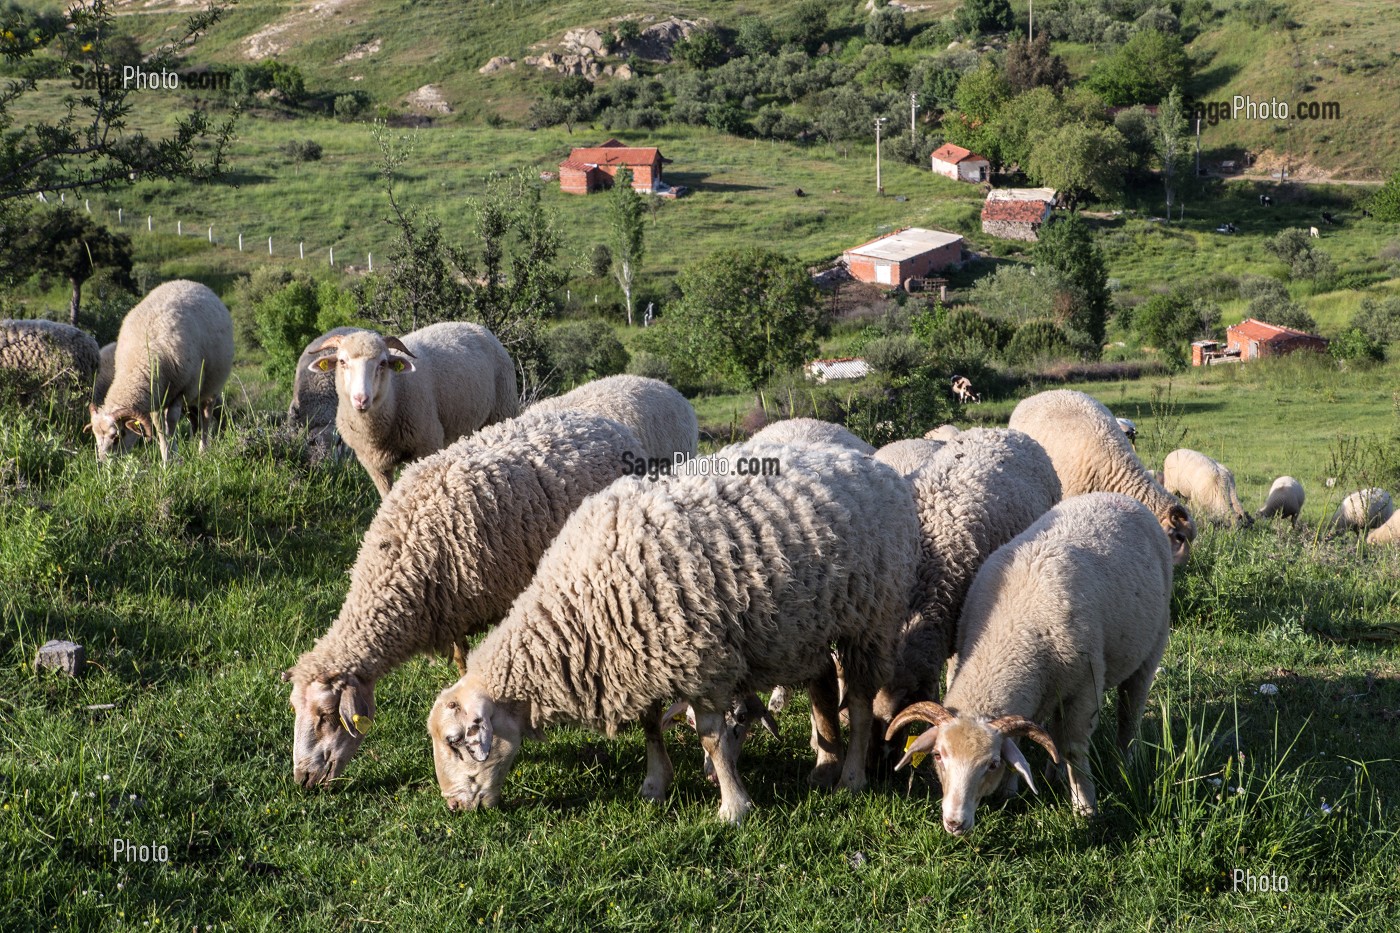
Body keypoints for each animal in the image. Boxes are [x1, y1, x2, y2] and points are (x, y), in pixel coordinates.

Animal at [87, 280, 233, 463]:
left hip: (210, 386)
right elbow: (159, 426)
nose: (102, 463)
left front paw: (173, 457)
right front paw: (166, 458)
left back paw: (203, 450)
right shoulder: (155, 395)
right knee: (195, 419)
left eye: (117, 437)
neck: (140, 361)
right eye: (96, 436)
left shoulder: (181, 391)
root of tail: (190, 282)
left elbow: (171, 423)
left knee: (206, 416)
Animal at [285, 409, 647, 788]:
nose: (302, 779)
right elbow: (461, 660)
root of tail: (604, 423)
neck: (399, 557)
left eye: (326, 715)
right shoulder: (451, 612)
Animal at [309, 322, 518, 497]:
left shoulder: (426, 447)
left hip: (502, 409)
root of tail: (477, 326)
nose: (361, 399)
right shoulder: (374, 467)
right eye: (342, 362)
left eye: (383, 363)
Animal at [427, 442, 920, 823]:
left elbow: (711, 739)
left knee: (860, 703)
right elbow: (650, 727)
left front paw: (733, 808)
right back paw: (824, 765)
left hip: (871, 619)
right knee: (823, 686)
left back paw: (851, 778)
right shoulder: (640, 657)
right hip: (809, 626)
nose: (453, 808)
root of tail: (874, 465)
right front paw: (654, 784)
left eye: (455, 742)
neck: (579, 607)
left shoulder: (702, 661)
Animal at [887, 492, 1173, 834]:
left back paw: (1124, 765)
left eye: (992, 763)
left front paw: (1085, 808)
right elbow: (1024, 739)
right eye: (938, 756)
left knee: (1130, 714)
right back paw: (1054, 773)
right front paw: (1011, 791)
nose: (955, 822)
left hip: (1152, 647)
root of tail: (1117, 497)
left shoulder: (1085, 687)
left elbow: (1074, 747)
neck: (1010, 629)